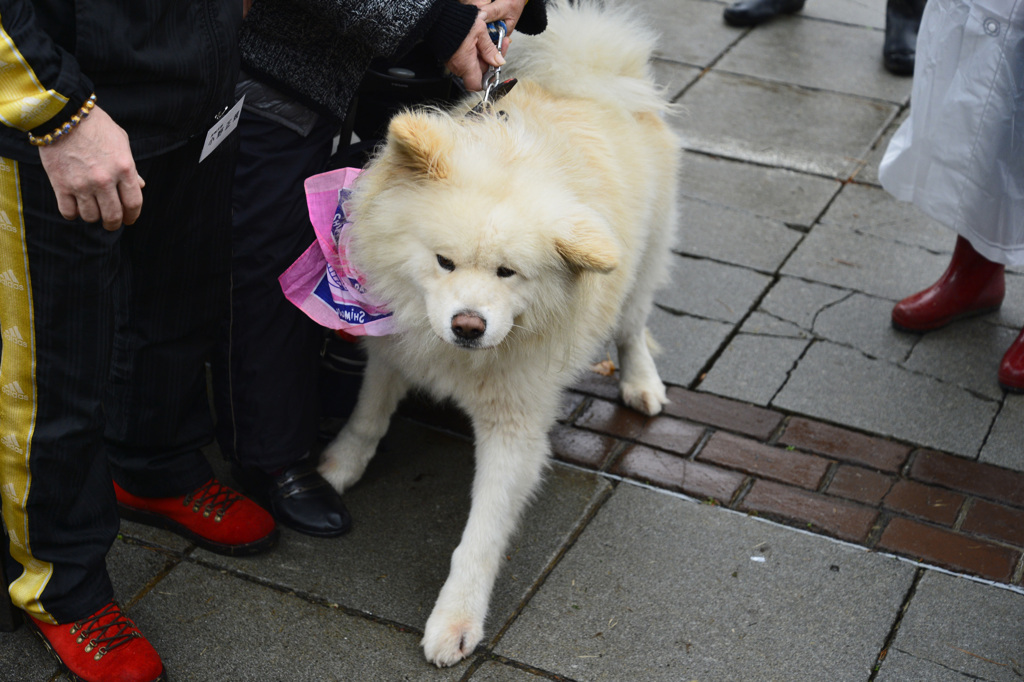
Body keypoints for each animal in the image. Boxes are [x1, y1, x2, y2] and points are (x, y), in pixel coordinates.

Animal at [315, 0, 675, 667]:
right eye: (444, 262)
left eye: (509, 273)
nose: (468, 325)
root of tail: (593, 72)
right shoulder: (393, 347)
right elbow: (367, 417)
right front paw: (338, 468)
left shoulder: (515, 427)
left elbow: (479, 538)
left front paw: (456, 621)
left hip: (642, 266)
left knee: (633, 327)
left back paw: (641, 384)